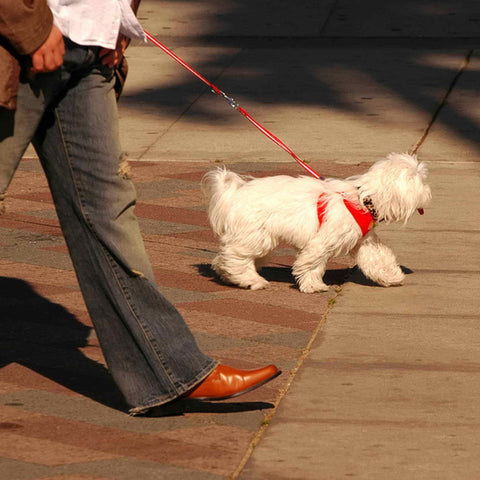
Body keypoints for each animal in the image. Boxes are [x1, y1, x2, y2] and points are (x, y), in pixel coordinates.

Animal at [202, 154, 432, 292]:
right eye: (421, 182)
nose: (430, 193)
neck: (362, 199)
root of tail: (235, 193)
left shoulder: (363, 241)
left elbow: (377, 258)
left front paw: (391, 276)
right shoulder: (322, 242)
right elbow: (311, 263)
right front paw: (313, 285)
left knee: (227, 258)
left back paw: (228, 275)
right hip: (256, 236)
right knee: (235, 256)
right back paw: (251, 279)